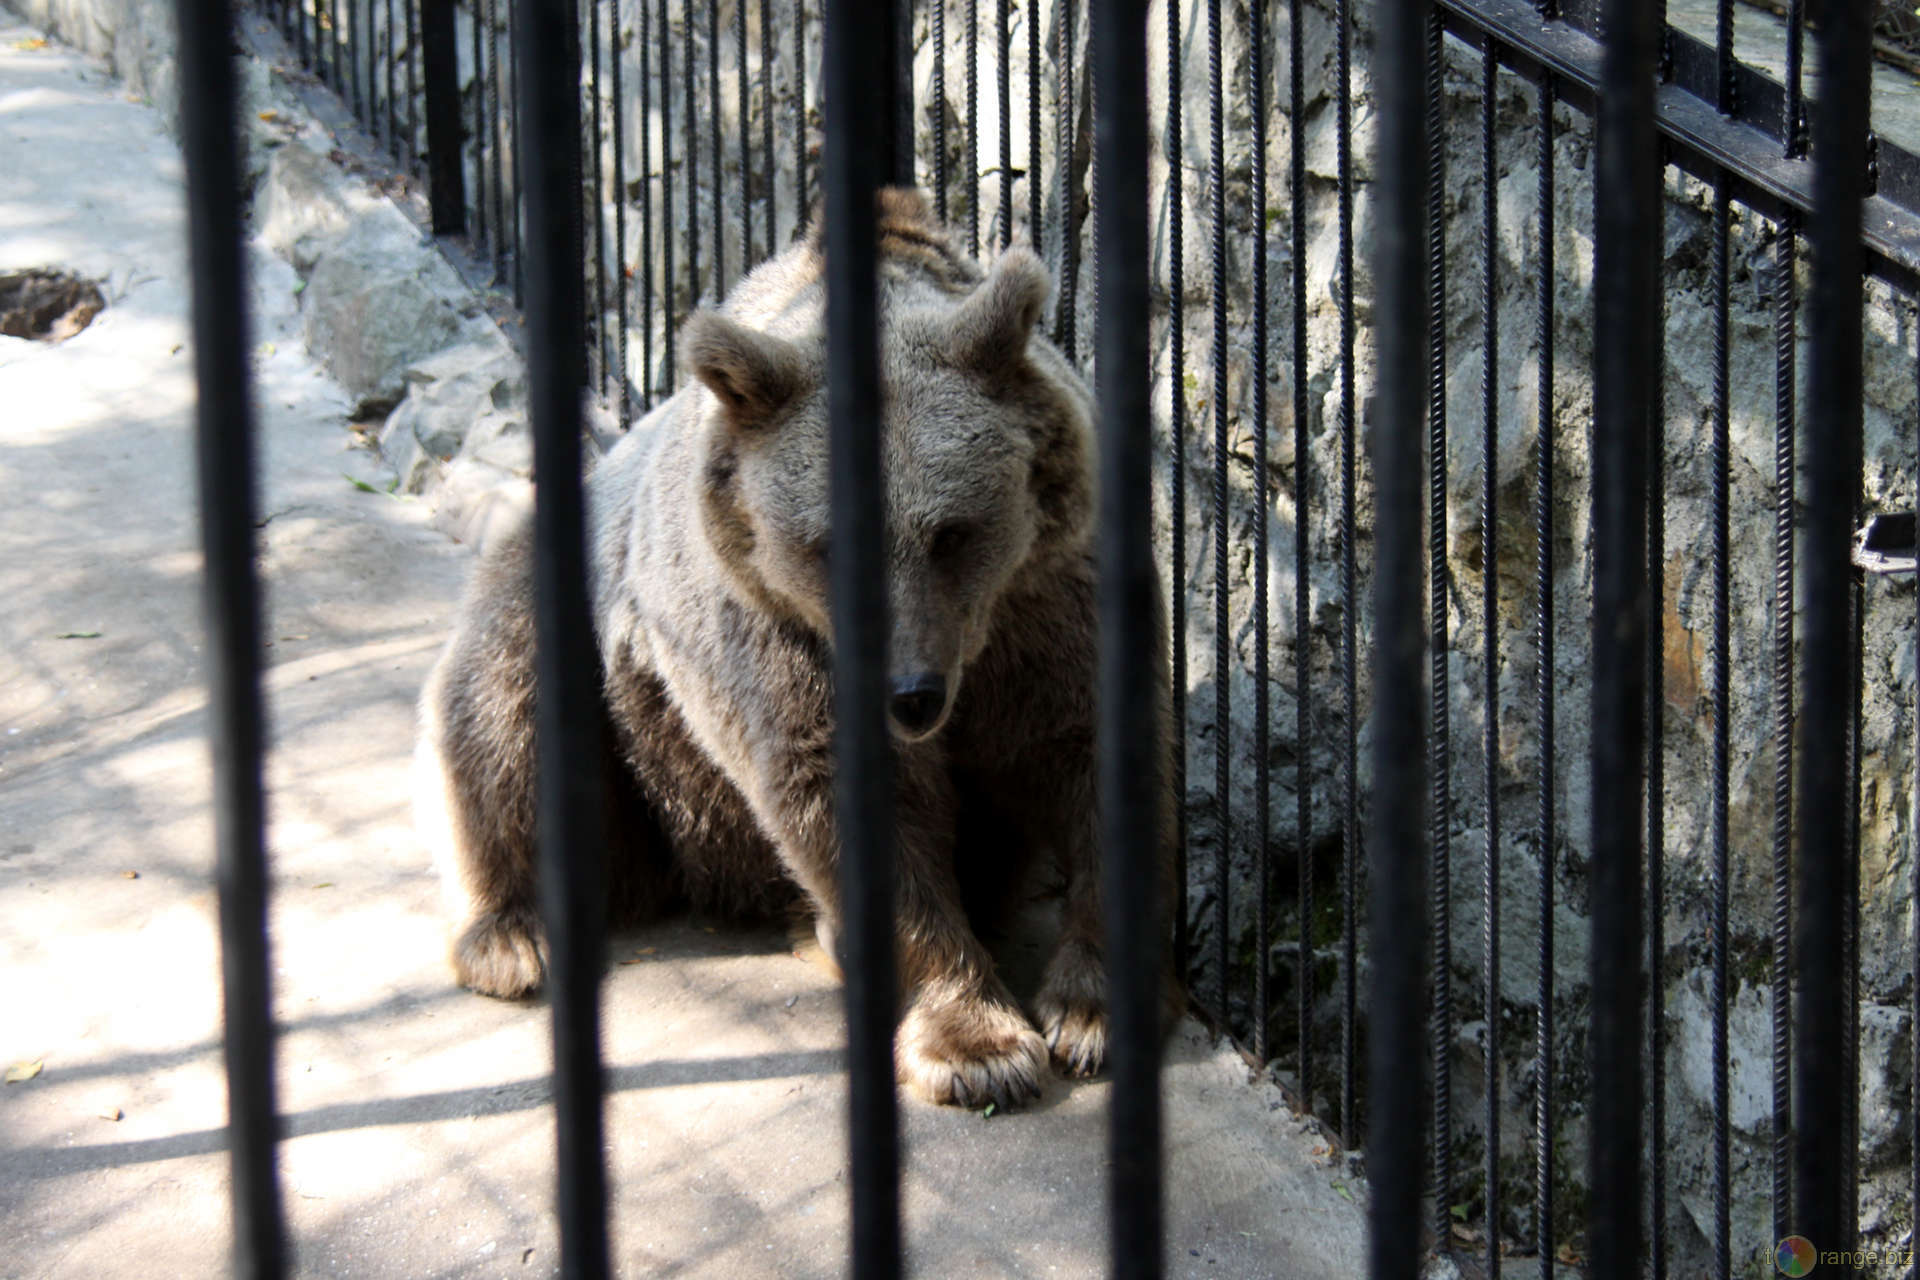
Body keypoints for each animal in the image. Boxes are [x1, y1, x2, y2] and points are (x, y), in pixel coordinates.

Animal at [412, 189, 1175, 1113]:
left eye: (952, 533)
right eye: (827, 544)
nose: (910, 695)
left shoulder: (1054, 599)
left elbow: (1095, 753)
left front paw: (1093, 1009)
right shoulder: (777, 633)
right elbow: (843, 801)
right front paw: (975, 1045)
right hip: (590, 647)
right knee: (500, 712)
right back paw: (508, 935)